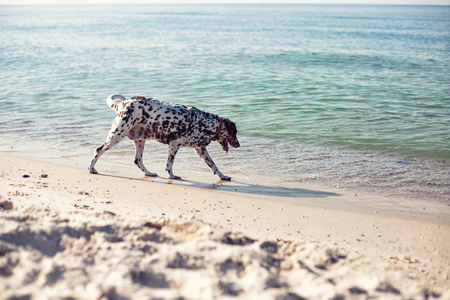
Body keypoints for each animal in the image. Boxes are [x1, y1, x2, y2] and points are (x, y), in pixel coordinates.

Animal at [89, 94, 241, 180]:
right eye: (235, 132)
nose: (239, 145)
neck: (205, 122)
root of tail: (122, 104)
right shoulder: (174, 145)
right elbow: (169, 165)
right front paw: (172, 176)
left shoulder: (201, 150)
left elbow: (214, 166)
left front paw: (223, 176)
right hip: (117, 135)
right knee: (98, 150)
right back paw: (91, 169)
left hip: (140, 141)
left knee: (138, 160)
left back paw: (149, 173)